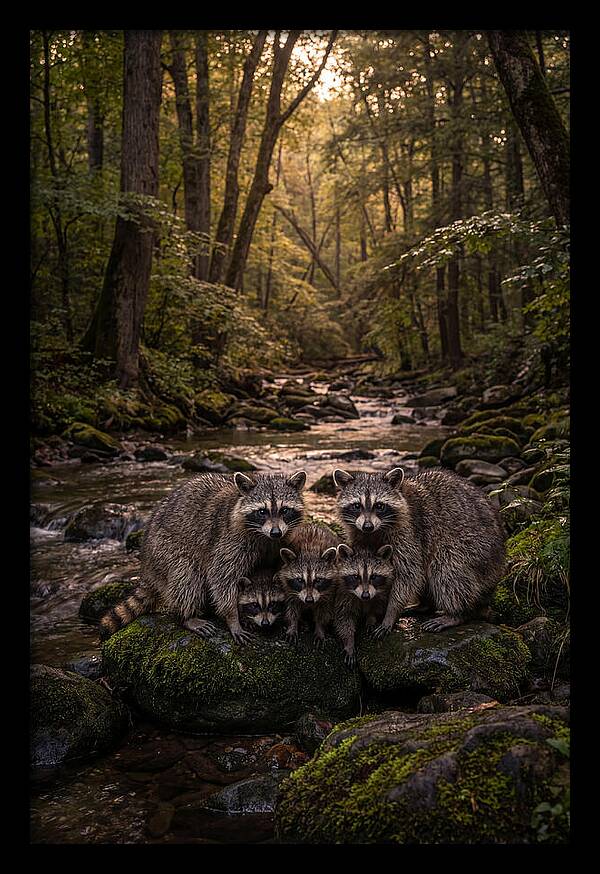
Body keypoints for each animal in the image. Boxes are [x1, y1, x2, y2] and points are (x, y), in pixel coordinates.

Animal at [101, 469, 306, 644]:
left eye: (284, 510)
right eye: (262, 511)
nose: (275, 532)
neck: (264, 537)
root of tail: (146, 564)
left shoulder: (279, 543)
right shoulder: (229, 541)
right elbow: (222, 579)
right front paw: (233, 617)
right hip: (164, 549)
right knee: (186, 577)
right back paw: (187, 616)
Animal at [333, 466, 506, 635]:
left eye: (379, 506)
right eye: (357, 506)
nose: (367, 526)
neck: (375, 531)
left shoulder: (409, 532)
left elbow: (409, 573)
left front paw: (391, 612)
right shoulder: (358, 533)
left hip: (475, 549)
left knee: (447, 569)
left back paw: (456, 613)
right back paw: (425, 605)